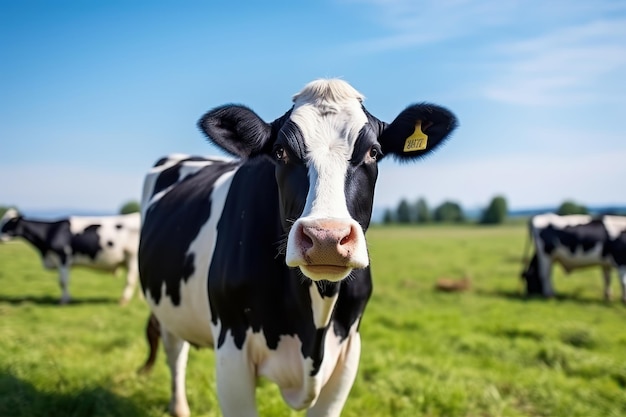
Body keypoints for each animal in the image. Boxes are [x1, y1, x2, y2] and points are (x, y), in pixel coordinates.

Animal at [0, 207, 140, 302]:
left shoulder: (63, 258)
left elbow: (63, 281)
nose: (0, 237)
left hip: (132, 258)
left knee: (130, 280)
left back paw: (123, 301)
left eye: (11, 221)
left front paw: (64, 300)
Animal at [139, 79, 456, 416]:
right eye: (281, 152)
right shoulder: (231, 349)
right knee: (175, 351)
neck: (312, 328)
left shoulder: (349, 350)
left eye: (373, 152)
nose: (326, 238)